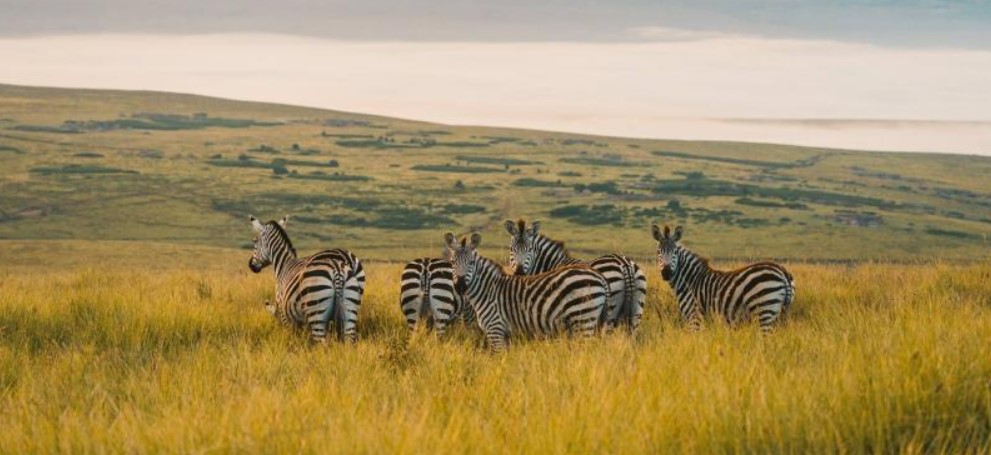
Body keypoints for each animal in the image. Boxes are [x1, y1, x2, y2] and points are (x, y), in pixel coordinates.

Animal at [250, 216, 366, 344]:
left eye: (255, 242)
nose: (251, 265)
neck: (284, 264)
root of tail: (337, 270)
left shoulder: (285, 312)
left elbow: (293, 336)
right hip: (350, 306)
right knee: (348, 337)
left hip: (316, 309)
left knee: (322, 342)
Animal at [446, 232, 608, 352]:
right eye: (453, 262)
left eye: (471, 263)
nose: (460, 286)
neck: (487, 291)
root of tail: (599, 276)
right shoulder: (506, 335)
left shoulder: (495, 329)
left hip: (584, 319)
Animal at [504, 222, 652, 334]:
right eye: (512, 249)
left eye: (530, 249)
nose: (519, 272)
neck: (553, 263)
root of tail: (624, 263)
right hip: (637, 309)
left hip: (609, 311)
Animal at [652, 223, 800, 334]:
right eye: (658, 252)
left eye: (675, 252)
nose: (666, 272)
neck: (690, 281)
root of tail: (782, 271)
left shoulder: (695, 317)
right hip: (779, 315)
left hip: (764, 311)